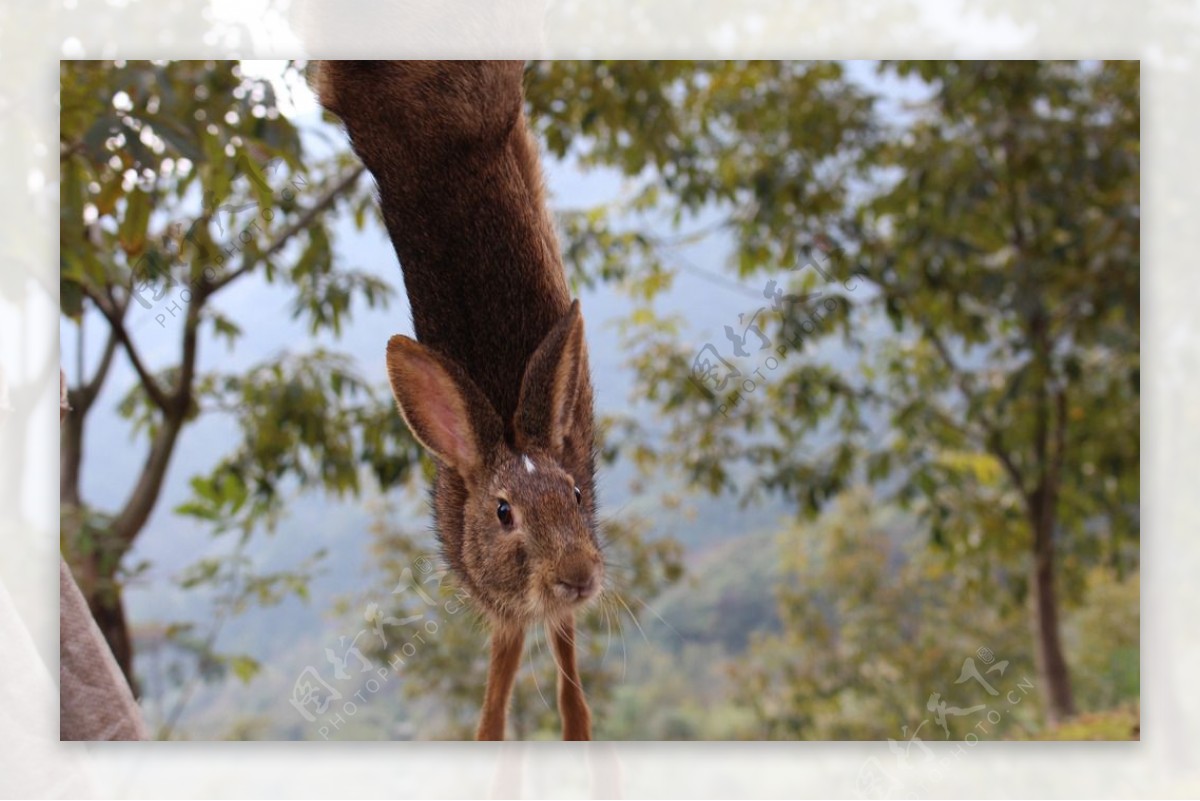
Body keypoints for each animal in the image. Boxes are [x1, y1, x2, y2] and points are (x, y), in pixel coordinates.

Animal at [316, 59, 604, 743]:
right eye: (503, 513)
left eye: (576, 496)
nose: (579, 576)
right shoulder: (501, 603)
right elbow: (504, 672)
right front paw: (491, 739)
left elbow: (561, 651)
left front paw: (579, 734)